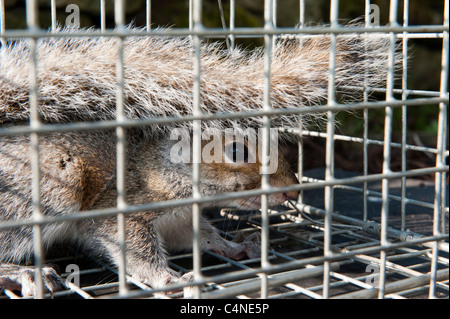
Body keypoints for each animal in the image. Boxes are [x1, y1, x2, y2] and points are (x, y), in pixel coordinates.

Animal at [0, 26, 394, 298]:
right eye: (236, 152)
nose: (292, 192)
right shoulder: (124, 209)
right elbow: (130, 248)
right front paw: (167, 278)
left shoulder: (180, 220)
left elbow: (201, 236)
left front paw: (234, 246)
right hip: (50, 190)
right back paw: (23, 273)